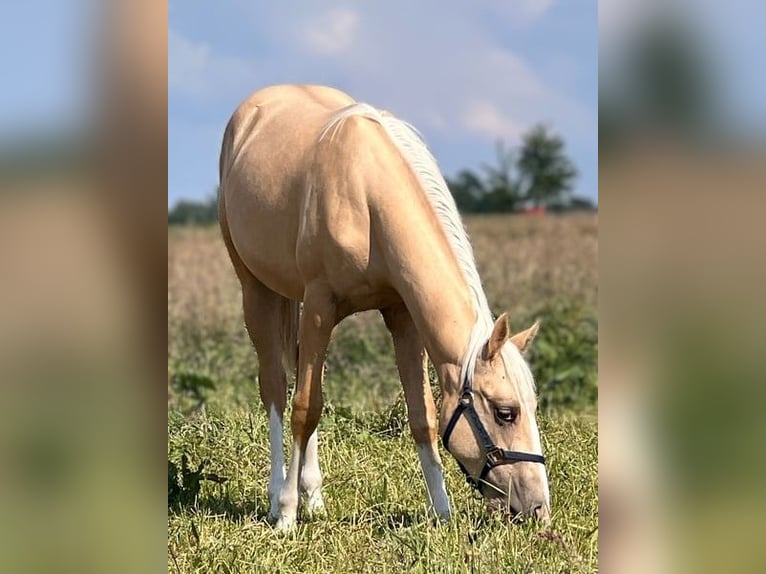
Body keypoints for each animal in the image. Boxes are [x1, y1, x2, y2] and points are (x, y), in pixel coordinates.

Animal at [218, 84, 550, 530]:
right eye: (505, 412)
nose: (538, 508)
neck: (367, 198)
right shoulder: (321, 305)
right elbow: (305, 408)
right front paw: (287, 514)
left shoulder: (402, 314)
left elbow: (422, 416)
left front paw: (442, 513)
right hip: (255, 290)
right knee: (275, 387)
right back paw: (277, 498)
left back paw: (314, 496)